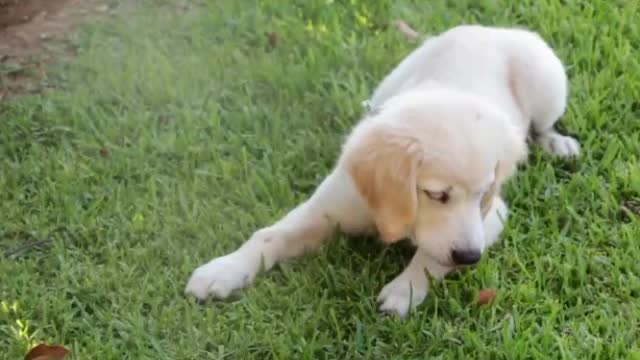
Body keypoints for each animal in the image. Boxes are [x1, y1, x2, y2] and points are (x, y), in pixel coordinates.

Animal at [184, 24, 580, 318]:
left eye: (483, 194)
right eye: (436, 194)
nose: (471, 258)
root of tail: (487, 28)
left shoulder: (491, 216)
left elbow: (430, 257)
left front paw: (405, 290)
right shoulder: (329, 205)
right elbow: (268, 235)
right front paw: (223, 270)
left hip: (546, 80)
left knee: (543, 126)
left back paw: (558, 144)